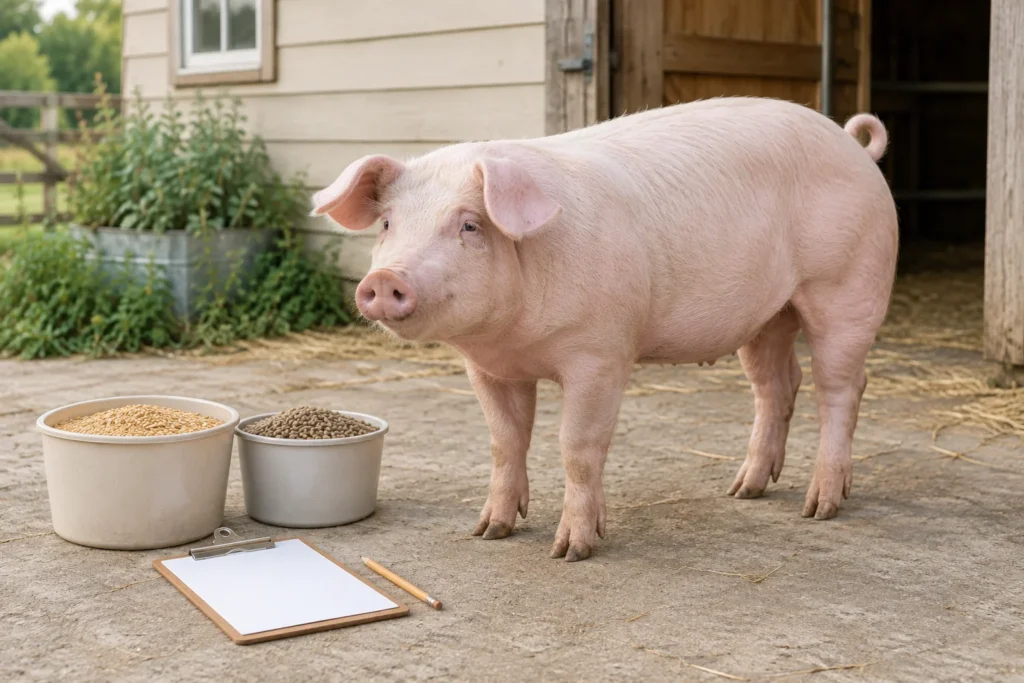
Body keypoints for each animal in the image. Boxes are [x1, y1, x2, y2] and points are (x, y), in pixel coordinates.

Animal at [311, 97, 897, 562]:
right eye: (388, 224)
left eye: (469, 226)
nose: (384, 279)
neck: (516, 339)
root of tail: (853, 145)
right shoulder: (489, 368)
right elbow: (504, 441)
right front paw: (489, 531)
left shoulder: (600, 353)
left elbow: (577, 445)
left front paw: (571, 551)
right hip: (768, 315)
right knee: (777, 385)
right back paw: (743, 491)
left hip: (847, 287)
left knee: (842, 388)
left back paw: (819, 508)